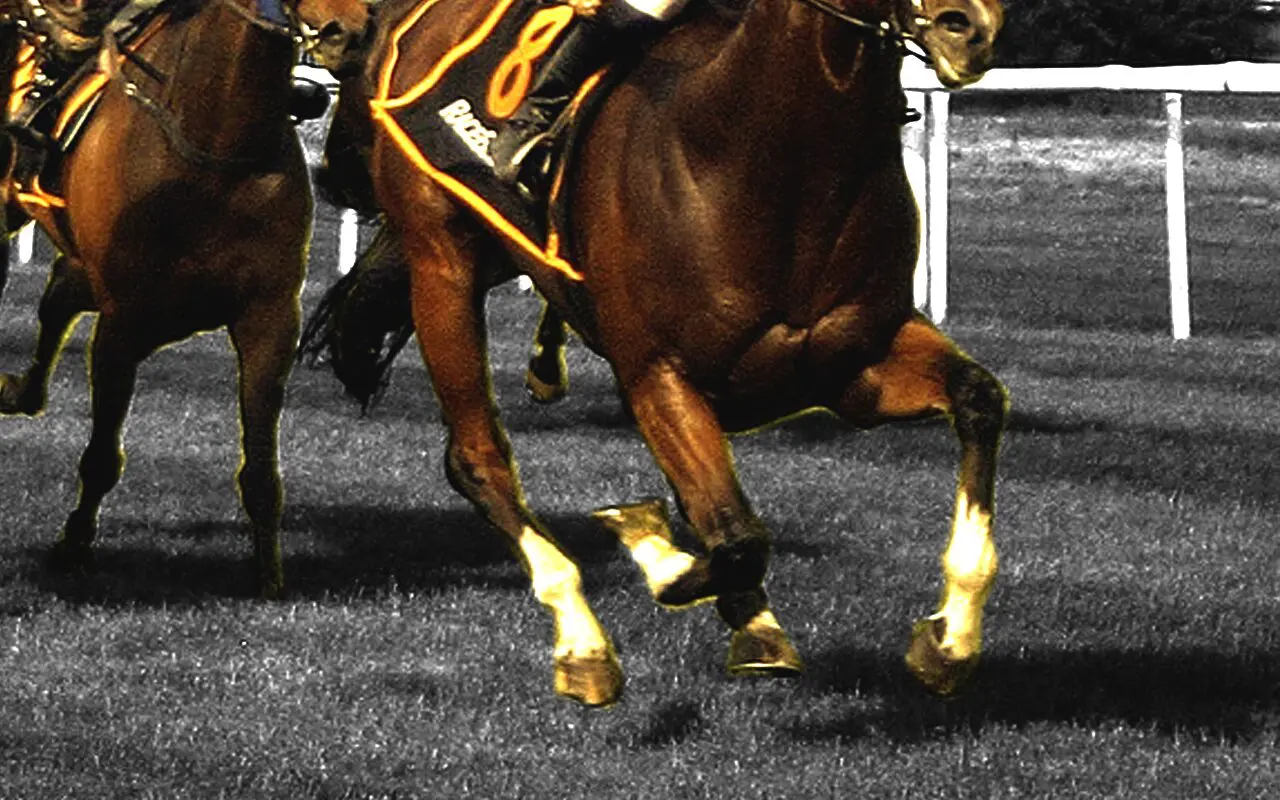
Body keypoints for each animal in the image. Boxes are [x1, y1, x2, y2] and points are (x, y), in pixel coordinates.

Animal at [0, 0, 369, 597]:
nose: (352, 33)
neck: (217, 141)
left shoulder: (270, 317)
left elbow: (262, 470)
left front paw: (269, 576)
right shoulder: (122, 321)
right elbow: (101, 456)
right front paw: (73, 546)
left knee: (58, 297)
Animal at [333, 0, 1005, 706]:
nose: (969, 28)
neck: (772, 161)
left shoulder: (850, 365)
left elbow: (979, 397)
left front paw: (949, 639)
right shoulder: (657, 374)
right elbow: (733, 538)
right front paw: (652, 548)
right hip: (442, 264)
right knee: (477, 460)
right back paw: (582, 642)